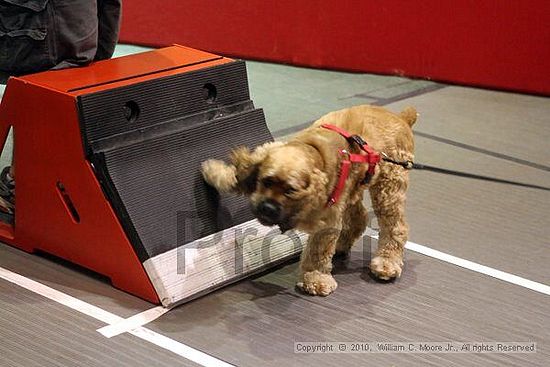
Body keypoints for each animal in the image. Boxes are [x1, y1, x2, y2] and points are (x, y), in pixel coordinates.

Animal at [203, 105, 418, 298]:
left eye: (291, 191)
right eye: (266, 181)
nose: (267, 208)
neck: (313, 149)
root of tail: (402, 117)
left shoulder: (327, 218)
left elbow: (318, 250)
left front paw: (315, 279)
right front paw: (215, 172)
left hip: (388, 189)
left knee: (395, 227)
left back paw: (386, 262)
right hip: (355, 186)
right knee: (359, 218)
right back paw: (342, 244)